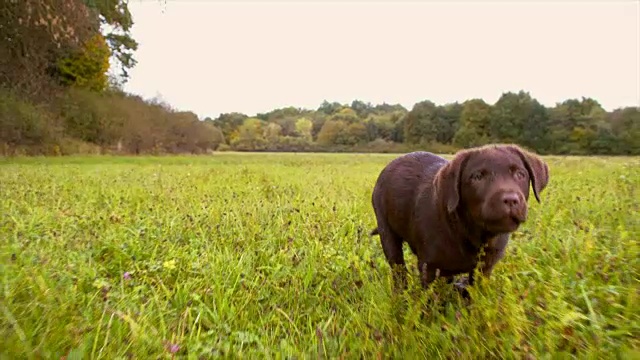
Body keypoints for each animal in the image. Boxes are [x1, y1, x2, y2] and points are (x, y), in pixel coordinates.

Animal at [370, 143, 552, 296]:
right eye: (477, 177)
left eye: (520, 174)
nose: (511, 199)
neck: (472, 232)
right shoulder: (429, 266)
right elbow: (428, 301)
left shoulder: (484, 268)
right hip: (386, 231)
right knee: (398, 269)